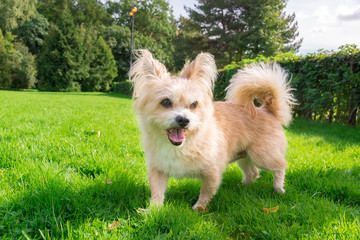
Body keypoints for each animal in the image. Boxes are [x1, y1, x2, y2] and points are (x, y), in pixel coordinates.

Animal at [129, 50, 296, 210]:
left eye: (194, 104)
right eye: (165, 102)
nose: (184, 120)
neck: (183, 146)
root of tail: (267, 110)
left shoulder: (213, 172)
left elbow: (206, 191)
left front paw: (199, 208)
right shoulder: (158, 169)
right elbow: (157, 192)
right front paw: (153, 210)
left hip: (262, 155)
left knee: (280, 166)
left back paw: (278, 188)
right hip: (245, 156)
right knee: (253, 173)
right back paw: (241, 188)